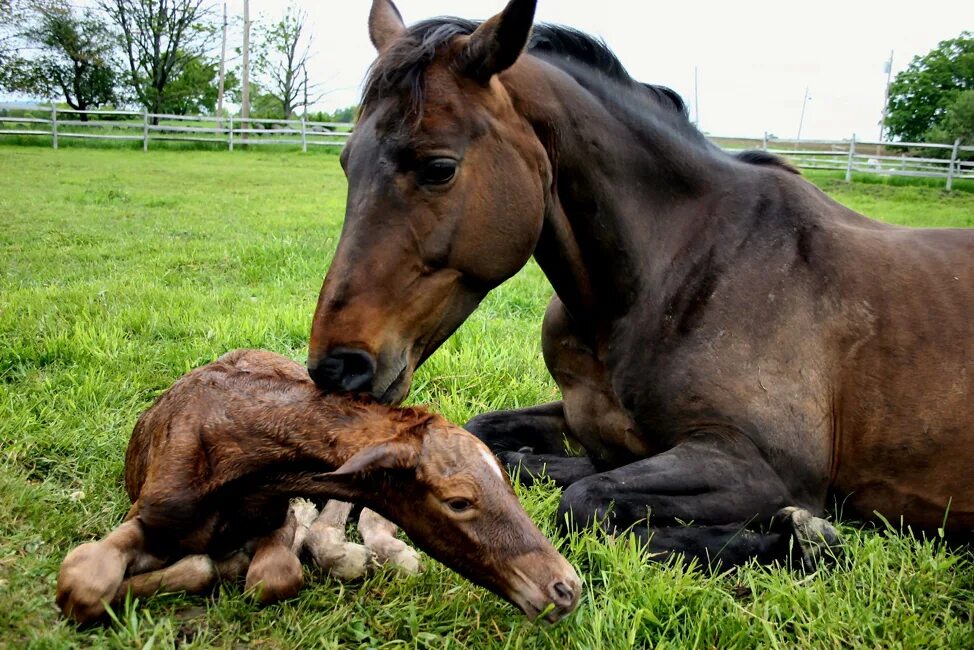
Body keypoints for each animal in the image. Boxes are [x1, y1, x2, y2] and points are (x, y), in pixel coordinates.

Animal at [57, 350, 580, 624]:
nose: (566, 587)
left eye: (507, 481)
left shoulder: (278, 507)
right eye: (458, 501)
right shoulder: (152, 513)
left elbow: (272, 576)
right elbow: (83, 581)